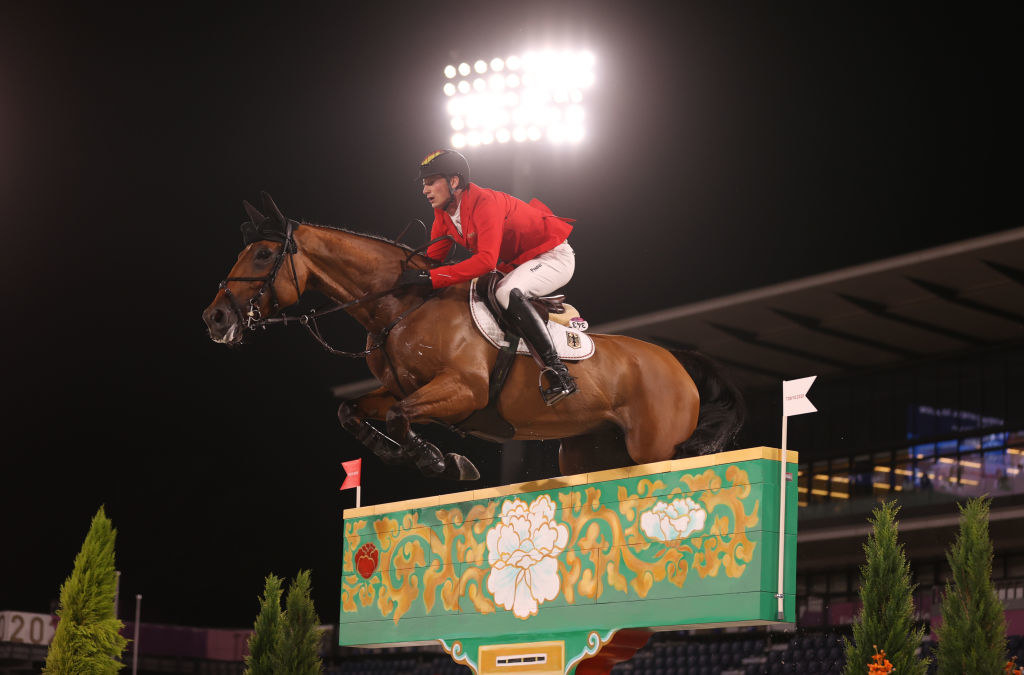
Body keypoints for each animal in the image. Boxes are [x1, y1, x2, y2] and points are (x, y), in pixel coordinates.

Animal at [201, 192, 745, 483]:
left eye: (263, 255)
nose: (215, 318)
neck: (401, 305)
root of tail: (677, 360)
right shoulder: (398, 388)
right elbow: (353, 412)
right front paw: (426, 459)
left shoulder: (463, 390)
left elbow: (401, 417)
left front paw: (442, 460)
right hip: (589, 449)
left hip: (655, 447)